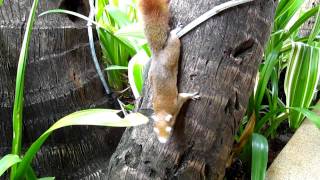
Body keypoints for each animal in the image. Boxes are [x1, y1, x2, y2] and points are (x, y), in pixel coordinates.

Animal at [138, 0, 199, 143]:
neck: (162, 110)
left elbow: (184, 96)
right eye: (155, 131)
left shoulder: (177, 103)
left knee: (172, 36)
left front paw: (193, 95)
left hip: (173, 47)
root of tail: (157, 52)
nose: (163, 141)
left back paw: (176, 30)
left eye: (169, 129)